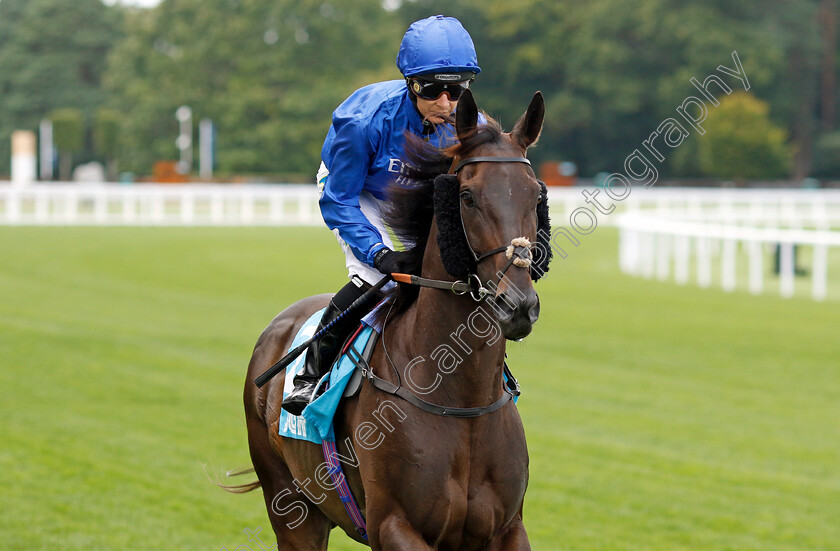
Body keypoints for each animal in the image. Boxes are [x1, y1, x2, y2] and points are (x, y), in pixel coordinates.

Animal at [236, 90, 552, 551]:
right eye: (468, 197)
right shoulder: (393, 525)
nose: (517, 305)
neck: (461, 402)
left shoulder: (508, 528)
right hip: (292, 509)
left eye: (535, 196)